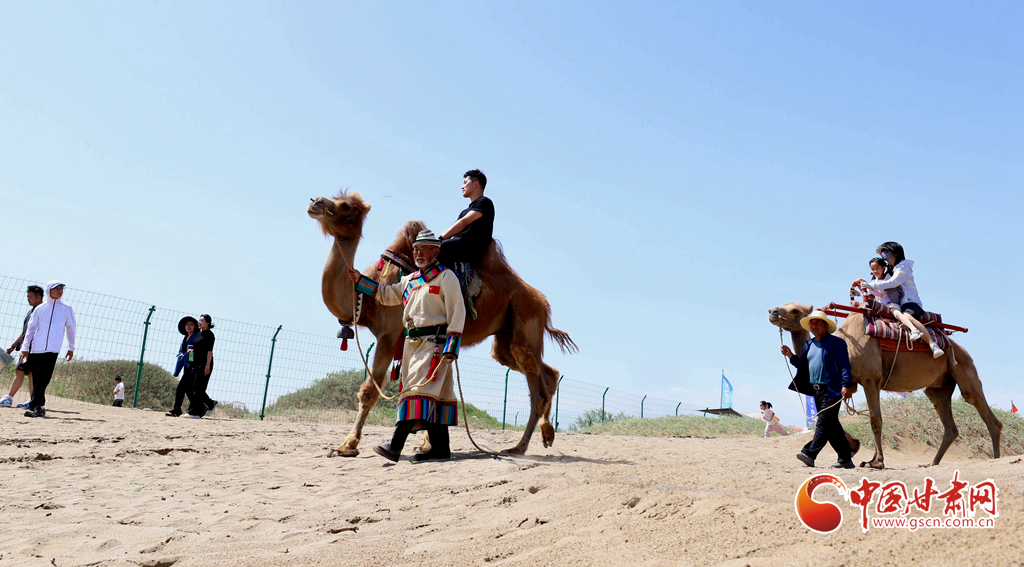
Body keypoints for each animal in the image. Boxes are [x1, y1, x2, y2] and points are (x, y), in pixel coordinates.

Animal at [307, 191, 577, 457]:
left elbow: (369, 392)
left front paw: (346, 446)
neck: (367, 298)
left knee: (536, 382)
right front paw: (425, 443)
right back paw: (536, 438)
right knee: (545, 373)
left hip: (526, 320)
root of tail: (543, 302)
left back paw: (528, 442)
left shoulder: (388, 336)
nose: (315, 202)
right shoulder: (407, 340)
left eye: (346, 206)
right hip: (506, 338)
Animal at [769, 302, 1001, 468]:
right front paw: (852, 448)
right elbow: (832, 418)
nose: (772, 311)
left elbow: (875, 421)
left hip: (963, 366)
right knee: (949, 423)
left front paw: (876, 462)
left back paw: (996, 458)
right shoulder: (849, 384)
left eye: (795, 310)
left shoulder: (871, 379)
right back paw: (931, 463)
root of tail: (959, 347)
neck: (846, 345)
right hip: (938, 387)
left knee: (979, 405)